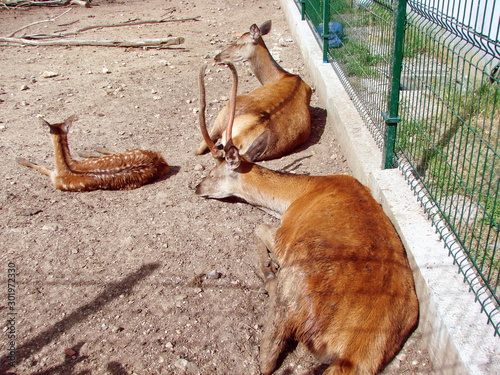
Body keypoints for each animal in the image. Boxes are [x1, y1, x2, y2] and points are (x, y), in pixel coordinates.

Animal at [15, 116, 170, 192]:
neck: (65, 167)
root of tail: (162, 161)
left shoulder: (56, 181)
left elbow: (41, 168)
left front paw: (20, 159)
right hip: (136, 151)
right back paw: (92, 149)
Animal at [195, 64, 418, 375]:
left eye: (213, 173)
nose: (196, 187)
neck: (294, 196)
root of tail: (353, 354)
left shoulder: (284, 236)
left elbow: (258, 226)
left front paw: (267, 262)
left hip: (296, 283)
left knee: (267, 358)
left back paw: (268, 275)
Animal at [196, 20, 310, 162]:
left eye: (238, 43)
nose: (217, 57)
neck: (281, 75)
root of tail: (237, 139)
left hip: (223, 114)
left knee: (199, 148)